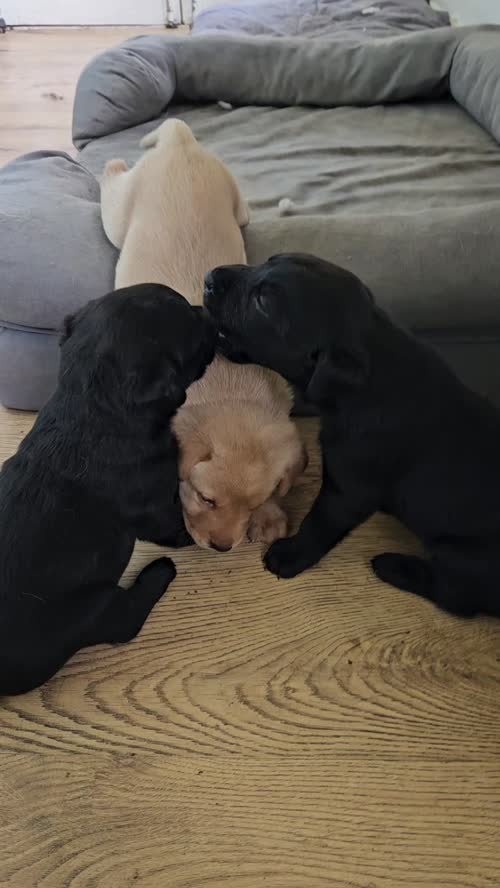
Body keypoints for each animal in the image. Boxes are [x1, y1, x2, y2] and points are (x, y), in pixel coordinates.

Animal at [0, 284, 215, 692]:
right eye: (194, 331)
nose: (208, 312)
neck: (92, 410)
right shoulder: (155, 513)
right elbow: (175, 524)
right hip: (94, 606)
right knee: (125, 620)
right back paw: (159, 572)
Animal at [100, 118, 306, 548]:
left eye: (252, 504)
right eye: (206, 499)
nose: (222, 547)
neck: (226, 385)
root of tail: (181, 144)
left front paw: (270, 516)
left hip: (236, 201)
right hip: (117, 213)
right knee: (111, 177)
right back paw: (113, 161)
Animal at [204, 251, 500, 616]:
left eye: (263, 301)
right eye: (268, 260)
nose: (208, 277)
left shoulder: (348, 490)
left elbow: (319, 524)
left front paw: (289, 556)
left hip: (464, 556)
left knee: (455, 597)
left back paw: (393, 566)